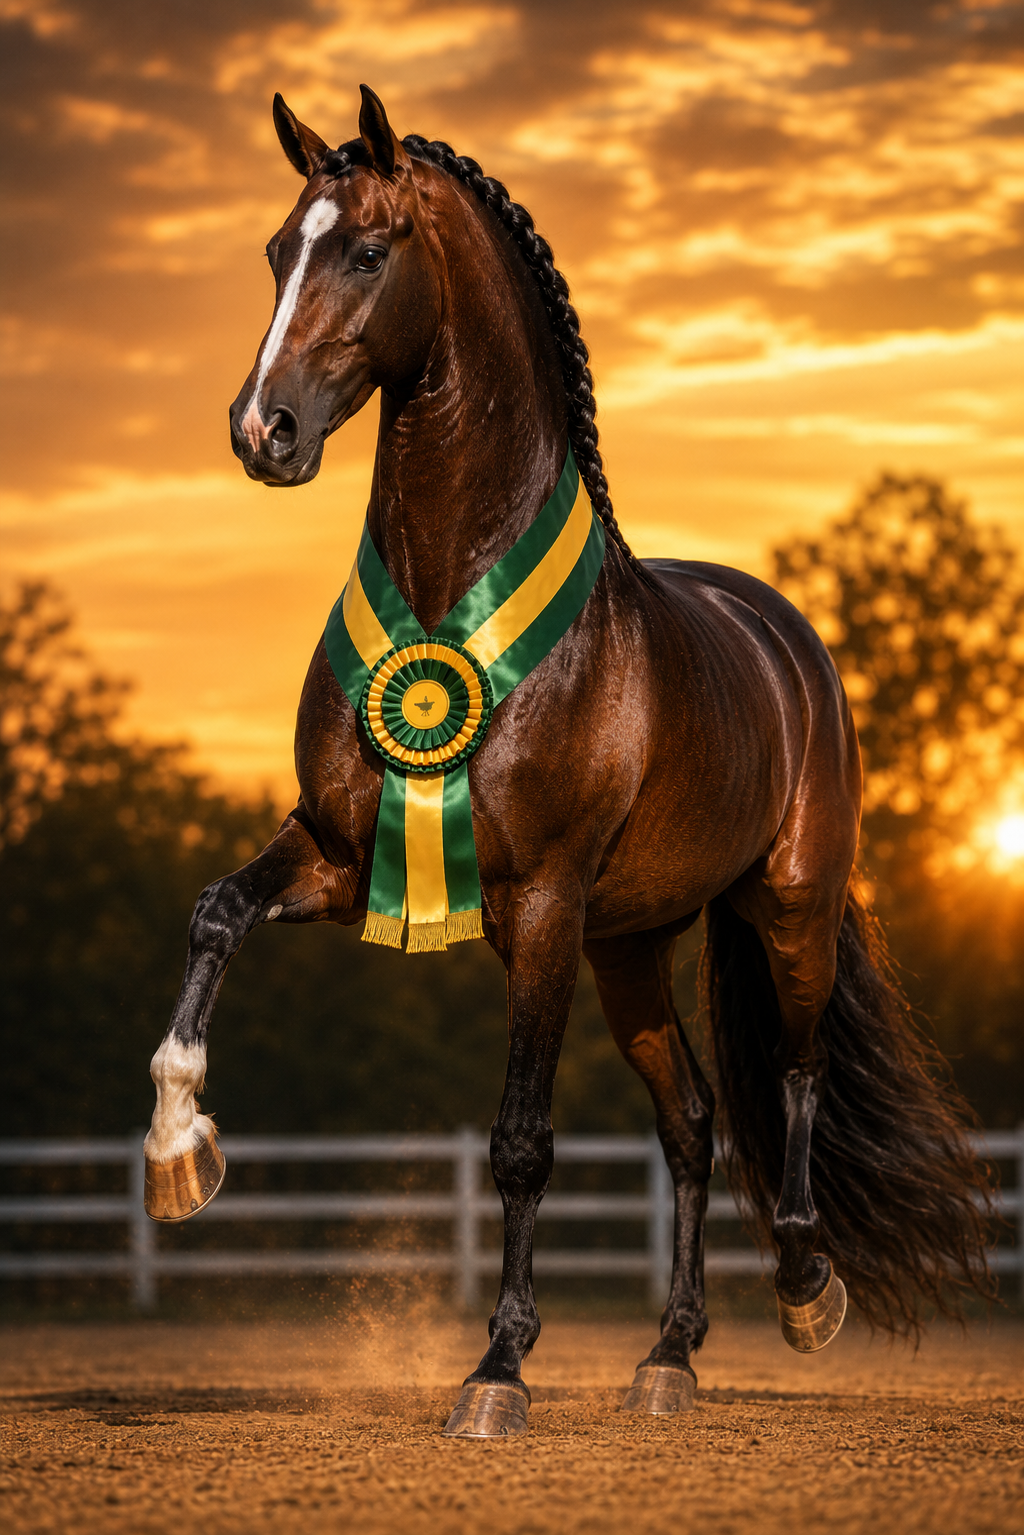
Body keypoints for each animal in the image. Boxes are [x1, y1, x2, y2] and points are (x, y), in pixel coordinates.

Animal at [142, 85, 993, 1437]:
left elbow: (522, 1140)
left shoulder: (537, 901)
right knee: (692, 1120)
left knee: (794, 1076)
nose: (259, 432)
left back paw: (804, 1290)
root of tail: (788, 638)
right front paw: (180, 1154)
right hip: (630, 944)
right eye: (278, 250)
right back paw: (669, 1355)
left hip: (786, 905)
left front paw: (497, 1367)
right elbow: (215, 913)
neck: (453, 591)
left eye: (366, 251)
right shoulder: (336, 852)